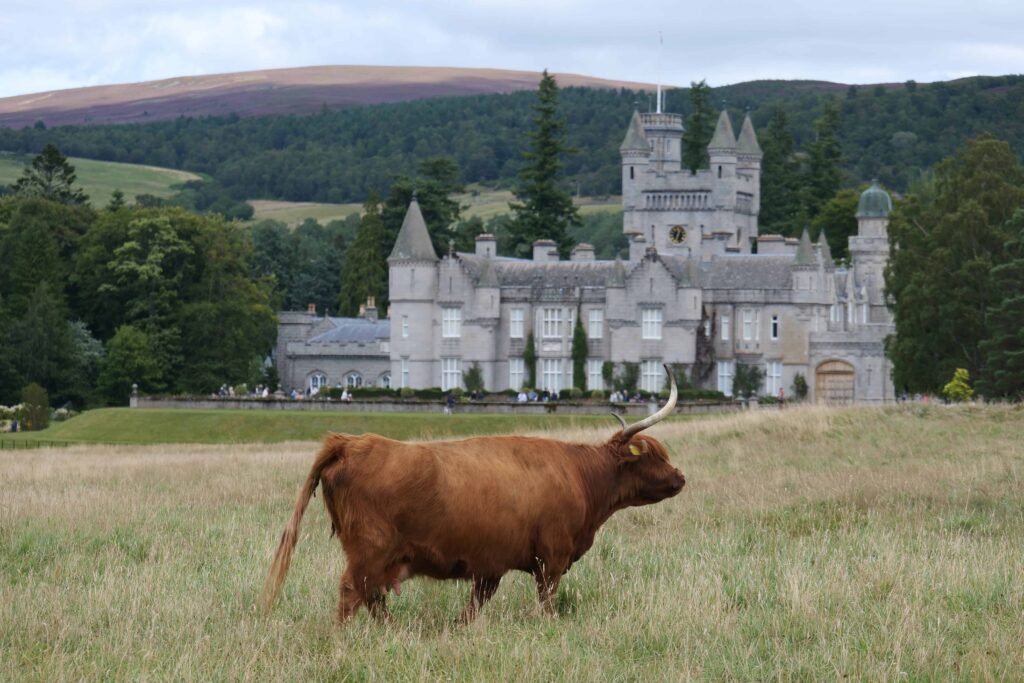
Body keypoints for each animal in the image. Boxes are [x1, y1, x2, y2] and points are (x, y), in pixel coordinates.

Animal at [262, 365, 685, 623]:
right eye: (653, 455)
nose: (680, 477)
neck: (580, 476)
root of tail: (353, 441)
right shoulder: (552, 556)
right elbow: (547, 603)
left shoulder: (489, 566)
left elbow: (472, 609)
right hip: (370, 549)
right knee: (353, 592)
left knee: (371, 598)